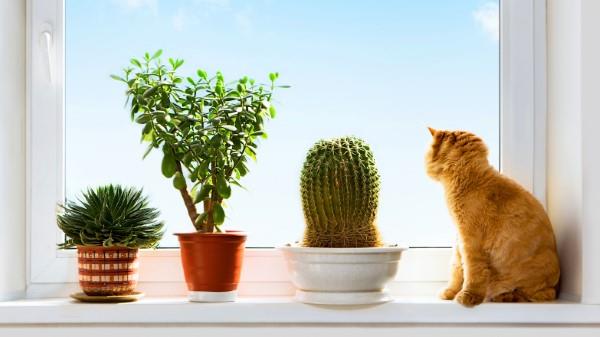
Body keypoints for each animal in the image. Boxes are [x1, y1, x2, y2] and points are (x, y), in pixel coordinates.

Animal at [424, 127, 560, 306]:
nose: (424, 163)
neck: (468, 178)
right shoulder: (460, 238)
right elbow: (457, 269)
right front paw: (450, 292)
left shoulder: (471, 241)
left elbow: (471, 273)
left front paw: (467, 296)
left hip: (535, 278)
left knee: (539, 294)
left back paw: (505, 296)